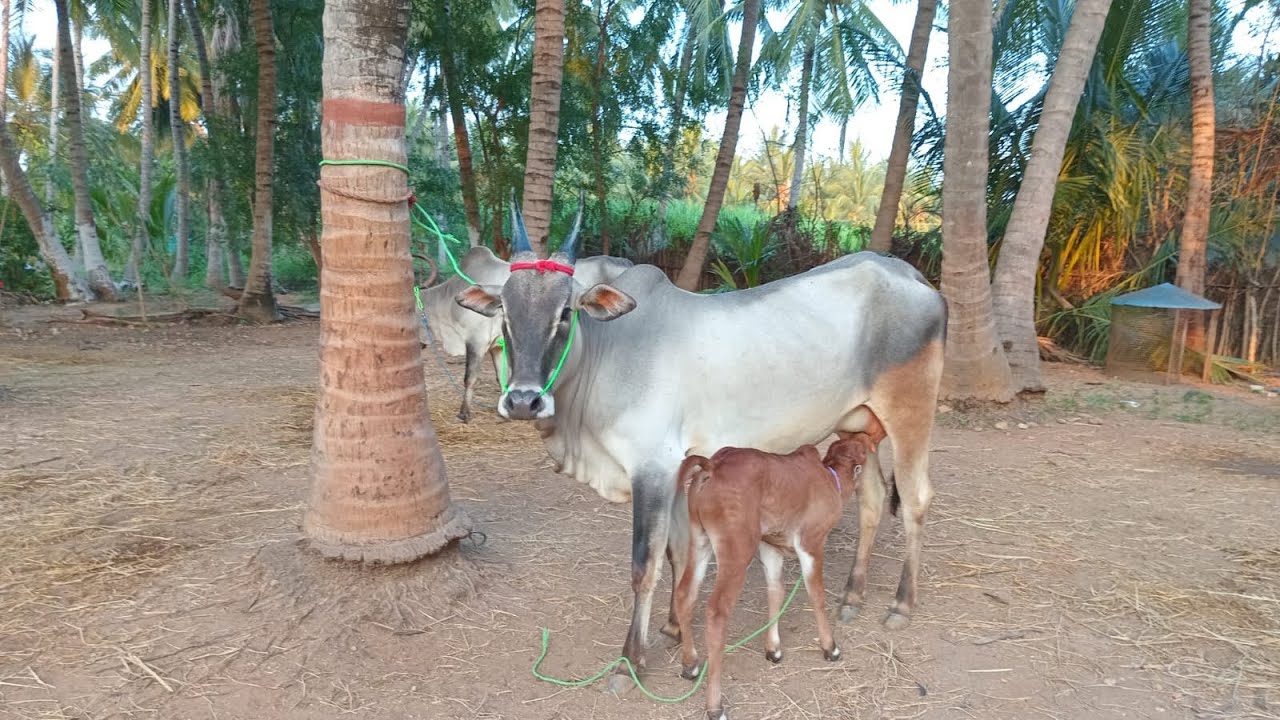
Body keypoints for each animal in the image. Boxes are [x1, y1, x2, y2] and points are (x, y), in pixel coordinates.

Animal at [455, 202, 947, 695]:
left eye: (564, 313)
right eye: (505, 313)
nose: (523, 401)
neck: (609, 349)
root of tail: (911, 276)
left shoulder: (652, 468)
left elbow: (645, 564)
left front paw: (629, 662)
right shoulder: (677, 472)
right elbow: (677, 553)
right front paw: (674, 627)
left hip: (911, 413)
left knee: (916, 498)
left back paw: (901, 604)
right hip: (857, 424)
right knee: (873, 499)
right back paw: (852, 595)